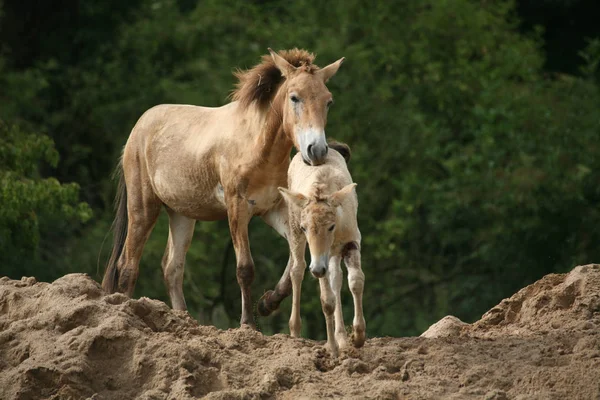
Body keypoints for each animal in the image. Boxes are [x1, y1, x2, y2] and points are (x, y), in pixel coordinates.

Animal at [101, 48, 344, 328]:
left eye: (328, 101)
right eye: (294, 97)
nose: (317, 150)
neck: (257, 145)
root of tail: (137, 130)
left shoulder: (272, 210)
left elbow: (297, 256)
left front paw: (267, 303)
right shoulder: (237, 208)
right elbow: (245, 268)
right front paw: (248, 323)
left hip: (182, 214)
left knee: (172, 268)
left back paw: (184, 320)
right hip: (143, 208)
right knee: (128, 265)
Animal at [270, 146, 364, 356]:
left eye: (331, 226)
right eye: (305, 227)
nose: (317, 270)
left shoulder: (352, 240)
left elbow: (355, 280)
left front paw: (358, 337)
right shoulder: (318, 256)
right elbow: (326, 300)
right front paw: (333, 350)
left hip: (334, 254)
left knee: (336, 278)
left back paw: (342, 338)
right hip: (296, 235)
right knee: (298, 269)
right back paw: (296, 331)